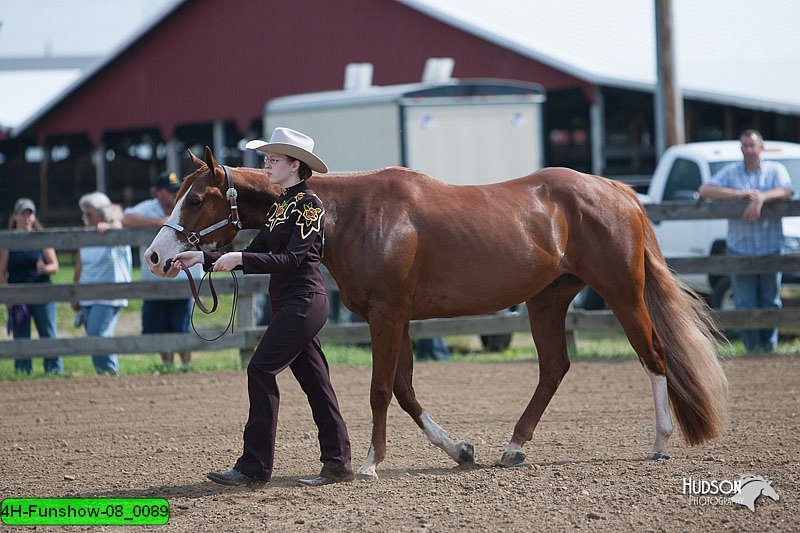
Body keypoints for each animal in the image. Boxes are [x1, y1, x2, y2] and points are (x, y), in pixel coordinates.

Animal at [142, 148, 724, 480]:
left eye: (196, 199)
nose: (155, 256)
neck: (351, 215)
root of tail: (619, 190)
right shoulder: (397, 319)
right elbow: (403, 391)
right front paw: (459, 450)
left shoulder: (387, 315)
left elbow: (381, 390)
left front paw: (371, 463)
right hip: (548, 299)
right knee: (555, 367)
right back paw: (513, 447)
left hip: (622, 294)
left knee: (654, 355)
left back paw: (659, 443)